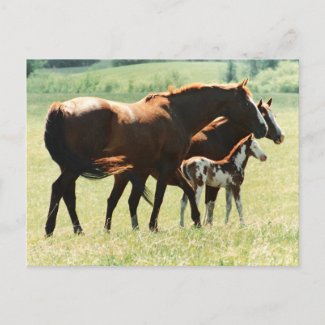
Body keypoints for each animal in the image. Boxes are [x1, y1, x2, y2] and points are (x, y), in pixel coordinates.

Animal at [43, 79, 266, 234]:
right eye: (247, 105)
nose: (263, 128)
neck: (177, 114)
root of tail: (61, 106)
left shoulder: (166, 168)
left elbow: (188, 189)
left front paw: (195, 221)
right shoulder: (167, 166)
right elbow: (160, 196)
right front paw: (154, 225)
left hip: (70, 168)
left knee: (68, 195)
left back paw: (78, 230)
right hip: (74, 168)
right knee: (58, 188)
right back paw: (50, 229)